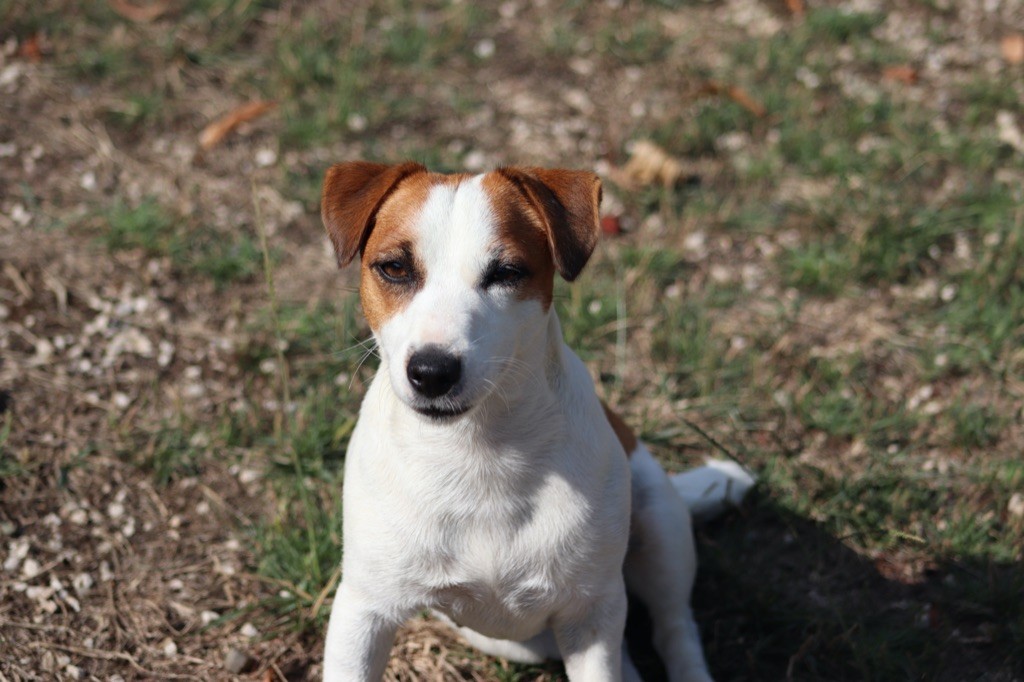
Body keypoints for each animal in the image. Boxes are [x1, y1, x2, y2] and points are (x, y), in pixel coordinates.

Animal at [319, 160, 753, 679]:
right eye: (394, 268)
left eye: (507, 273)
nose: (432, 371)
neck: (479, 450)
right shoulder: (364, 612)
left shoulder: (590, 614)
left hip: (659, 528)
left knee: (674, 627)